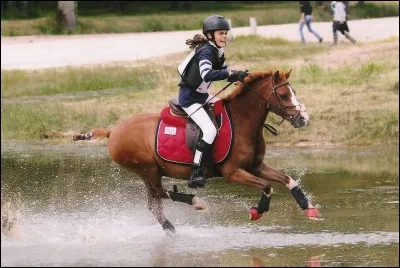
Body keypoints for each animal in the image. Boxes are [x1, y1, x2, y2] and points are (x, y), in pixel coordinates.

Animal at [73, 70, 320, 233]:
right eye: (285, 95)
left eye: (293, 92)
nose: (303, 119)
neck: (243, 121)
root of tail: (114, 130)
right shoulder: (233, 173)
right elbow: (267, 186)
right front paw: (258, 211)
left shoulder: (256, 166)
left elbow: (288, 180)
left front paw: (309, 208)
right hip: (147, 169)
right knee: (159, 195)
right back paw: (195, 202)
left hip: (150, 172)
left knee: (155, 202)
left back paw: (171, 227)